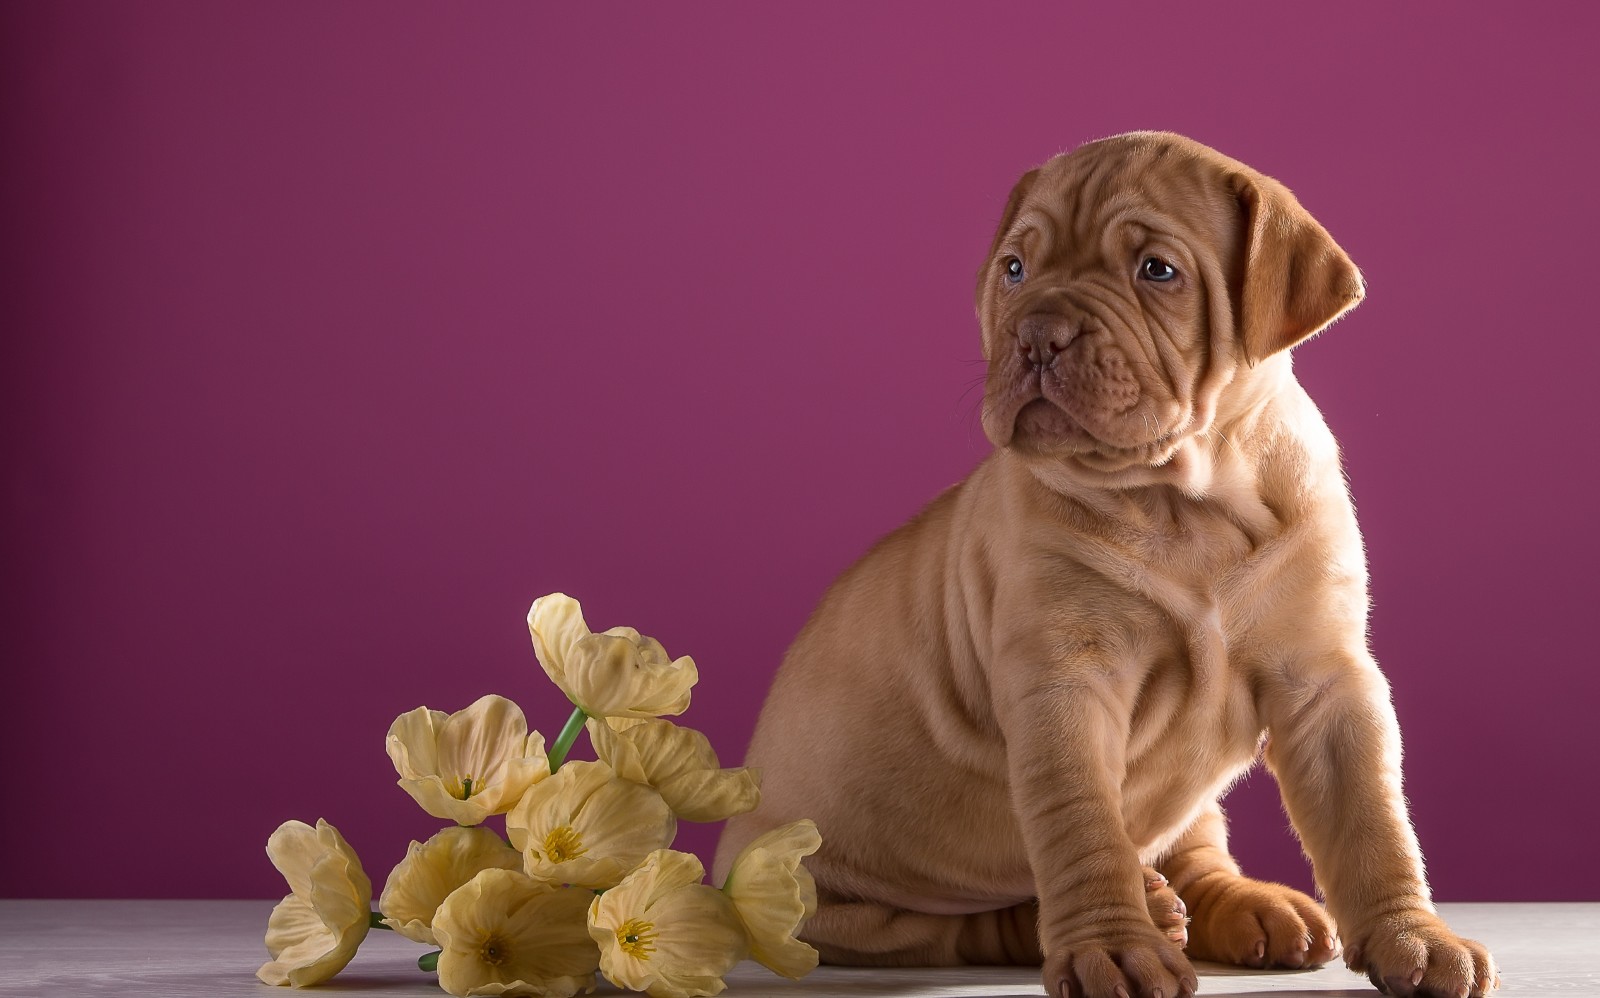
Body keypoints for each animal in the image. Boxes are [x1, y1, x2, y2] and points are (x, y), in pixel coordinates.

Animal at [716, 132, 1497, 997]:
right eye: (1014, 269)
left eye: (1157, 270)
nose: (1036, 334)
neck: (1186, 497)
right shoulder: (1066, 686)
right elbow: (1081, 826)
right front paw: (1115, 949)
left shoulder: (1326, 681)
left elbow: (1372, 819)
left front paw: (1412, 935)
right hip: (812, 897)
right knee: (950, 926)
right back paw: (1121, 915)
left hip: (1191, 810)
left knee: (1193, 848)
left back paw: (1250, 909)